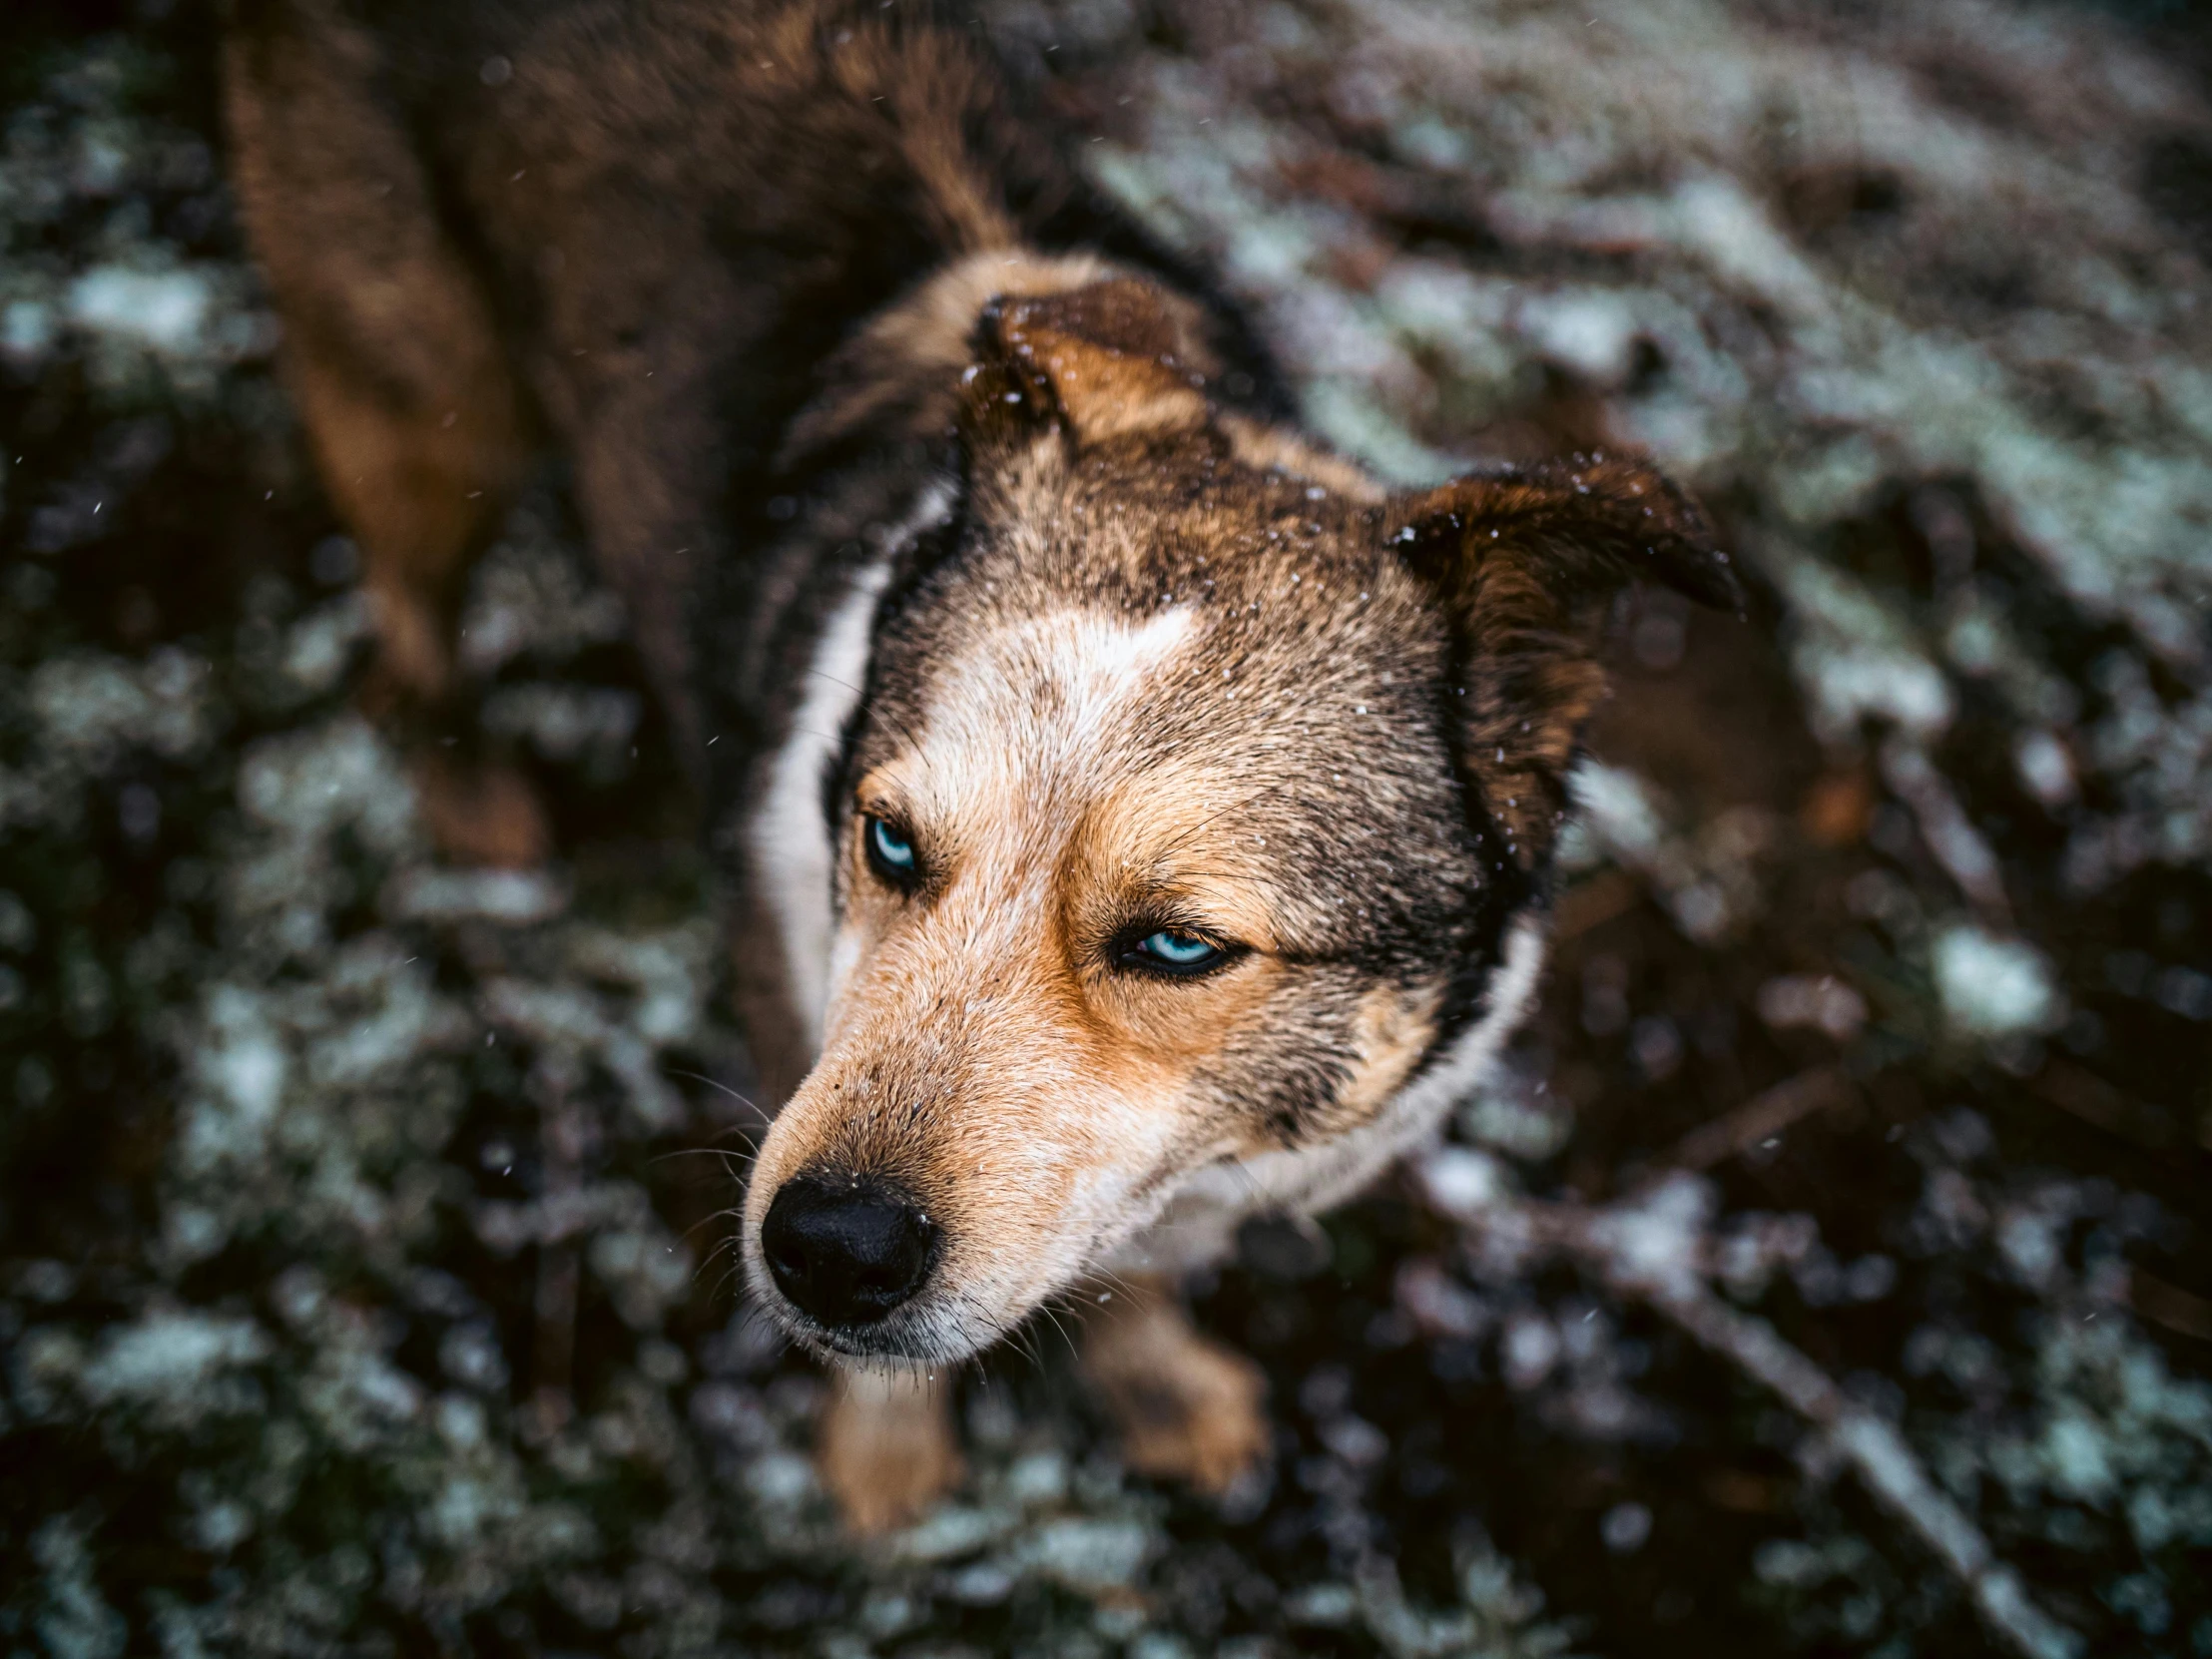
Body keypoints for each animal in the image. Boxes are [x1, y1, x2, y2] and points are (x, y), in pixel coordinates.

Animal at [224, 0, 1743, 1530]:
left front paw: (1162, 1391)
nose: (826, 1249)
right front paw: (889, 1467)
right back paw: (469, 788)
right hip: (423, 394)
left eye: (1180, 946)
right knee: (407, 600)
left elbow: (1134, 1273)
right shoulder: (783, 993)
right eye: (889, 841)